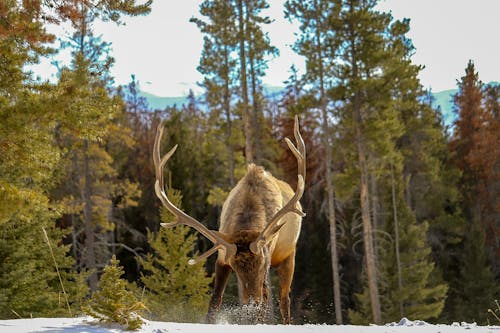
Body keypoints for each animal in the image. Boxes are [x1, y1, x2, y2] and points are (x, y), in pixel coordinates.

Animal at [152, 116, 306, 322]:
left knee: (283, 299)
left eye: (262, 262)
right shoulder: (222, 257)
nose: (252, 304)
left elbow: (266, 300)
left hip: (289, 254)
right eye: (235, 267)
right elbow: (215, 301)